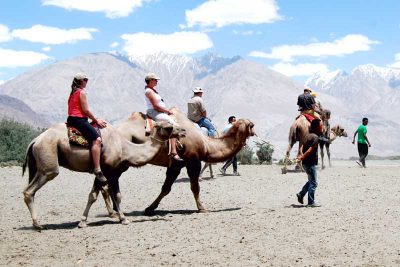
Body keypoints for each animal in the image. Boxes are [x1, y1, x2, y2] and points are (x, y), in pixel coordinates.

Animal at [21, 119, 184, 230]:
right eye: (169, 127)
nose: (183, 130)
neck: (125, 149)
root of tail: (34, 141)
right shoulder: (105, 171)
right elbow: (100, 196)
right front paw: (84, 222)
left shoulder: (112, 174)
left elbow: (109, 195)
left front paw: (120, 218)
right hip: (48, 163)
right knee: (30, 190)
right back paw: (38, 225)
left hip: (38, 165)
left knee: (30, 190)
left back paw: (36, 224)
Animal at [114, 109, 255, 216]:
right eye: (252, 125)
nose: (254, 132)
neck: (206, 144)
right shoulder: (193, 161)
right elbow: (195, 187)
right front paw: (202, 208)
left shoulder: (176, 165)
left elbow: (166, 188)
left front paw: (150, 209)